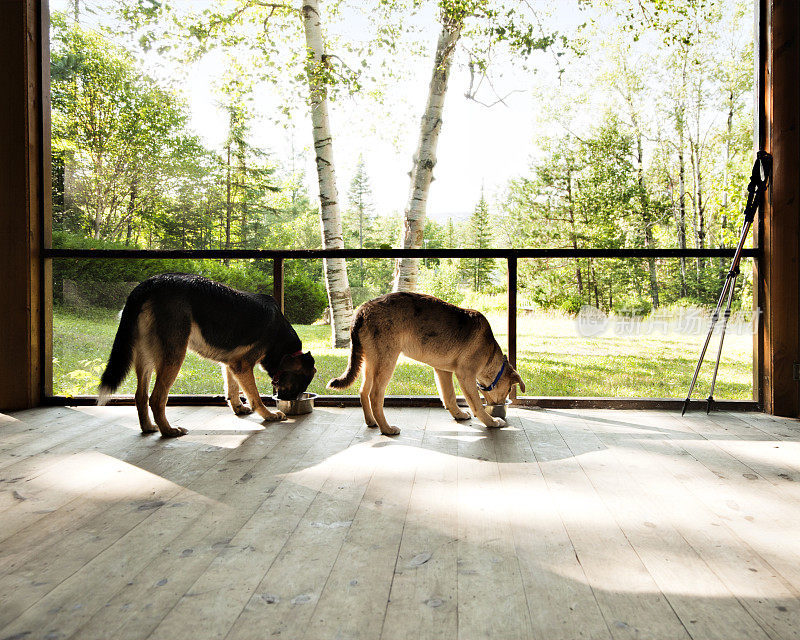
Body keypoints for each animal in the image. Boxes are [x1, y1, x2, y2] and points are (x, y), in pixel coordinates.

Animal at [97, 272, 316, 438]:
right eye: (298, 385)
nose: (286, 400)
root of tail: (149, 284)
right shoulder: (243, 365)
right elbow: (254, 397)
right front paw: (268, 414)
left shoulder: (231, 365)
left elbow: (232, 389)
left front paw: (238, 408)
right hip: (174, 355)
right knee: (157, 398)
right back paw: (168, 431)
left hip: (146, 357)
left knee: (140, 396)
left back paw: (149, 427)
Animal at [326, 292, 524, 436]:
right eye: (508, 389)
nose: (500, 406)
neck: (489, 354)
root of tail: (362, 310)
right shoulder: (465, 375)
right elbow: (476, 405)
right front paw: (492, 422)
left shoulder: (443, 371)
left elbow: (449, 397)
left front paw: (459, 415)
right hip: (387, 361)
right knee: (375, 395)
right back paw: (387, 429)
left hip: (371, 362)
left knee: (363, 391)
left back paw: (372, 422)